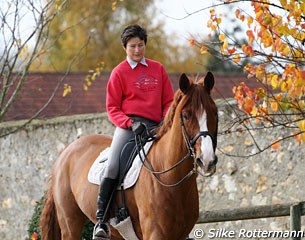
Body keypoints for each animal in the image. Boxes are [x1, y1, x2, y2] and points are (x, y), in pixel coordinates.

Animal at [39, 71, 217, 240]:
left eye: (214, 113)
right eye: (186, 115)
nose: (207, 160)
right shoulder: (155, 233)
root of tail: (65, 153)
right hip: (70, 223)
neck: (169, 177)